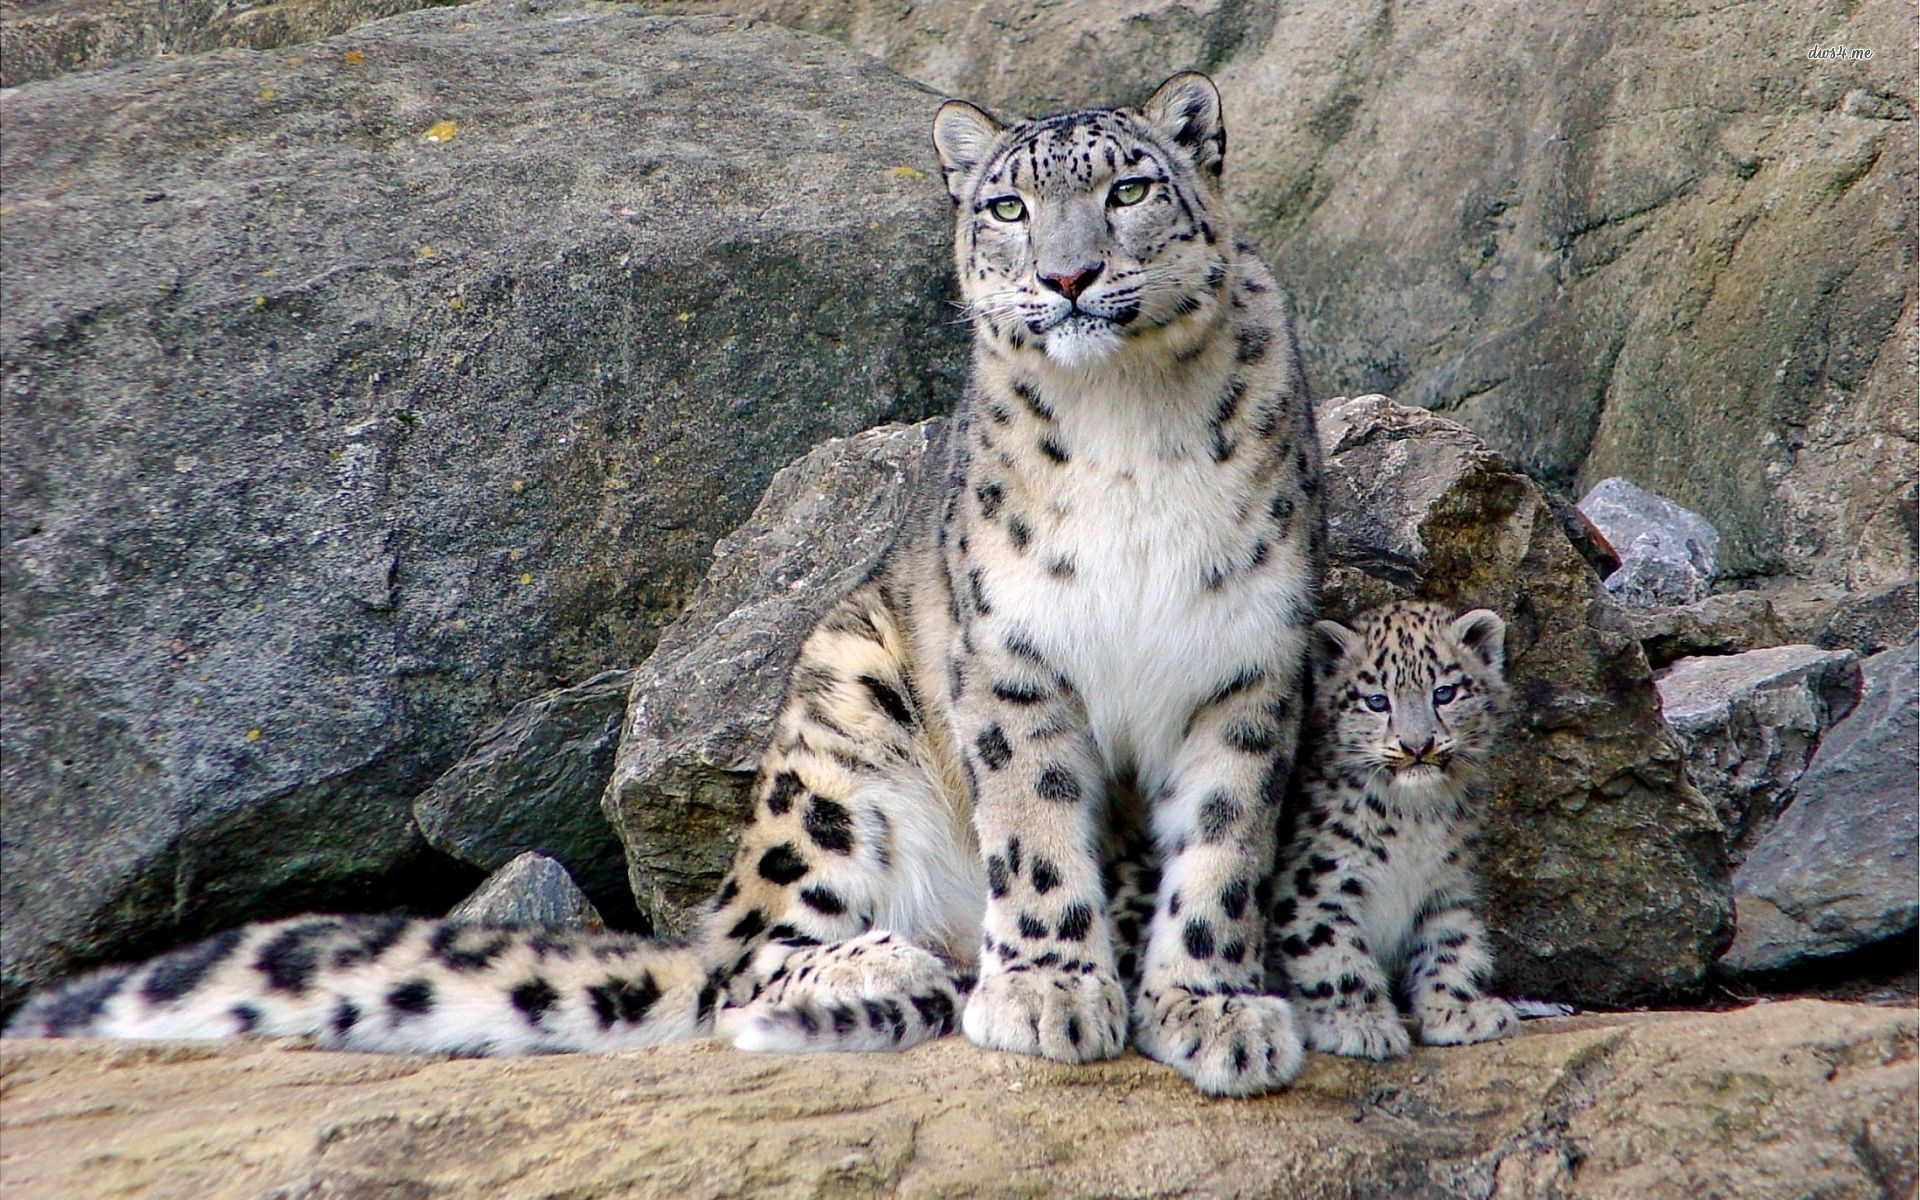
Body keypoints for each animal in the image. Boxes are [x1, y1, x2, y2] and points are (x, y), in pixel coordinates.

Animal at [6, 71, 1326, 1097]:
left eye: (1129, 190)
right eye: (1007, 205)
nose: (1069, 277)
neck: (1129, 427)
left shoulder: (1250, 658)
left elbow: (1222, 846)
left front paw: (1216, 1009)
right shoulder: (1011, 659)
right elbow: (1039, 831)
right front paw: (1052, 992)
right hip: (838, 723)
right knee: (743, 958)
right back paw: (887, 963)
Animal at [1267, 600, 1519, 1059]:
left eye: (1444, 692)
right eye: (1376, 701)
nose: (1417, 745)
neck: (1414, 820)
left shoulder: (1447, 883)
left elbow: (1451, 945)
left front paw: (1460, 1011)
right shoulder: (1316, 884)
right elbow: (1334, 953)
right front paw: (1360, 1024)